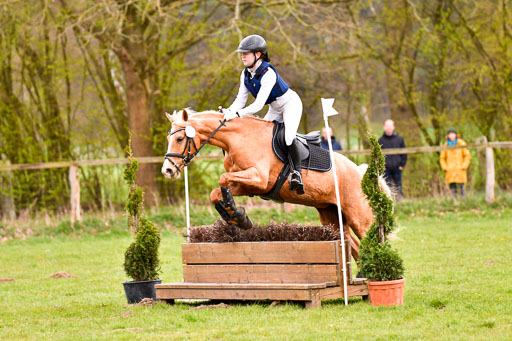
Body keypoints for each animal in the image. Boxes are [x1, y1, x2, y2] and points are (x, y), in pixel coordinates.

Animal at [162, 109, 386, 258]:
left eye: (180, 139)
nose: (167, 170)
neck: (238, 138)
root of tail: (360, 171)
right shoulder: (247, 184)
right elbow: (216, 192)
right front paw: (237, 217)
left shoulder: (258, 178)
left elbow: (222, 178)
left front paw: (237, 214)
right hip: (331, 215)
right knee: (355, 247)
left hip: (359, 217)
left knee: (373, 240)